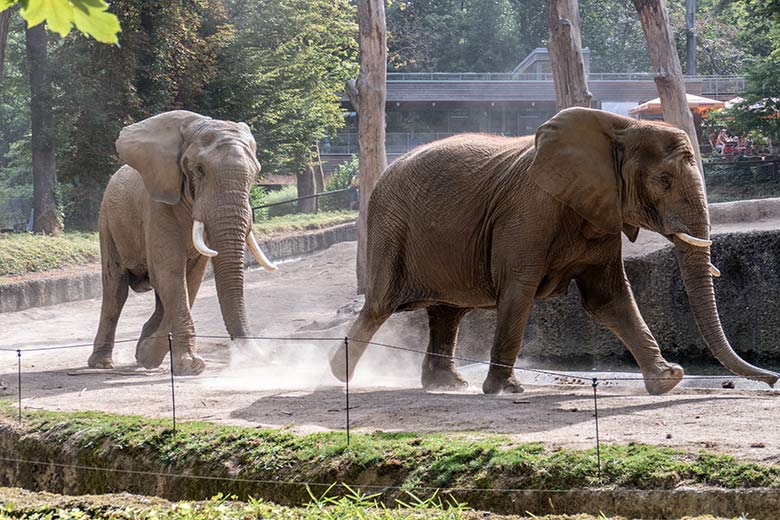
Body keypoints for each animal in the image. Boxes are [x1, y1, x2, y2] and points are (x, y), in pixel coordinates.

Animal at [89, 111, 278, 376]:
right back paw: (102, 364)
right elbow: (170, 274)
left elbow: (191, 278)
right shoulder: (157, 206)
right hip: (107, 220)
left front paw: (148, 355)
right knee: (115, 289)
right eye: (199, 170)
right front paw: (190, 365)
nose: (258, 357)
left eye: (256, 172)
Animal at [330, 108, 780, 394]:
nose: (774, 379)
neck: (621, 127)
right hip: (390, 228)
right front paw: (506, 390)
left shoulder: (601, 212)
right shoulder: (529, 212)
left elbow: (609, 298)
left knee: (449, 313)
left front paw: (668, 380)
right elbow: (519, 289)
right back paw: (339, 374)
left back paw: (449, 386)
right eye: (664, 180)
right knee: (380, 307)